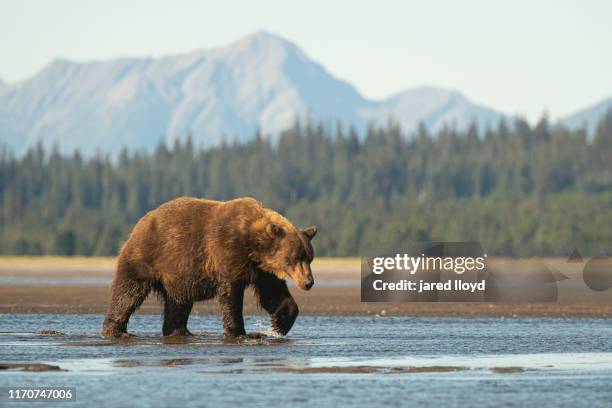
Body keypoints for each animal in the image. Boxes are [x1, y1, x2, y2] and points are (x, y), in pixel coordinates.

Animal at [101, 197, 318, 338]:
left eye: (310, 258)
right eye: (295, 258)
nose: (308, 282)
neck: (253, 245)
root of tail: (140, 222)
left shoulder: (262, 270)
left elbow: (272, 294)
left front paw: (279, 324)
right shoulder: (227, 251)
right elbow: (230, 294)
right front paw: (240, 332)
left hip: (177, 275)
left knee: (178, 303)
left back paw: (180, 331)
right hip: (147, 256)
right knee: (128, 292)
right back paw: (116, 330)